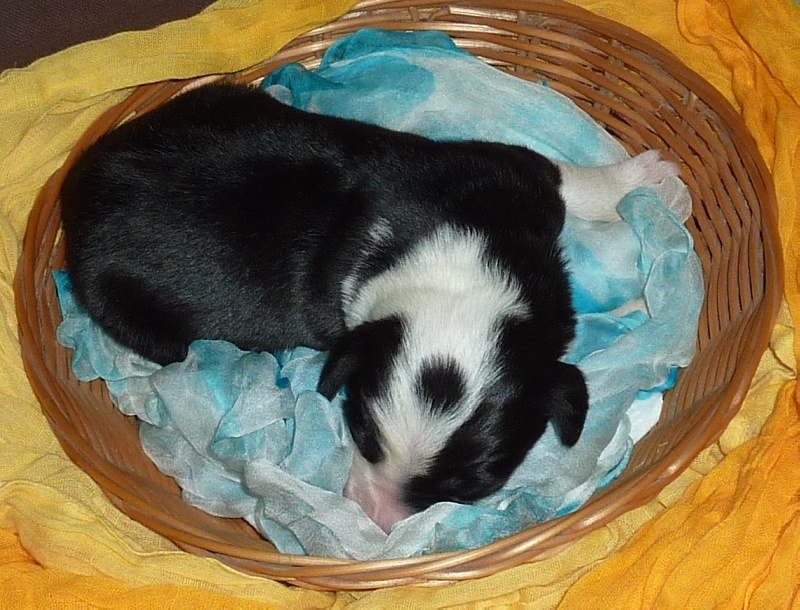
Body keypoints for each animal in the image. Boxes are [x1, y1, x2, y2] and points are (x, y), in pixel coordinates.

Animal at [60, 82, 678, 532]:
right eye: (360, 432)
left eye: (469, 487)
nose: (376, 522)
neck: (453, 273)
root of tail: (76, 188)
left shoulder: (507, 174)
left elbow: (567, 180)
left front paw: (639, 182)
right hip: (135, 315)